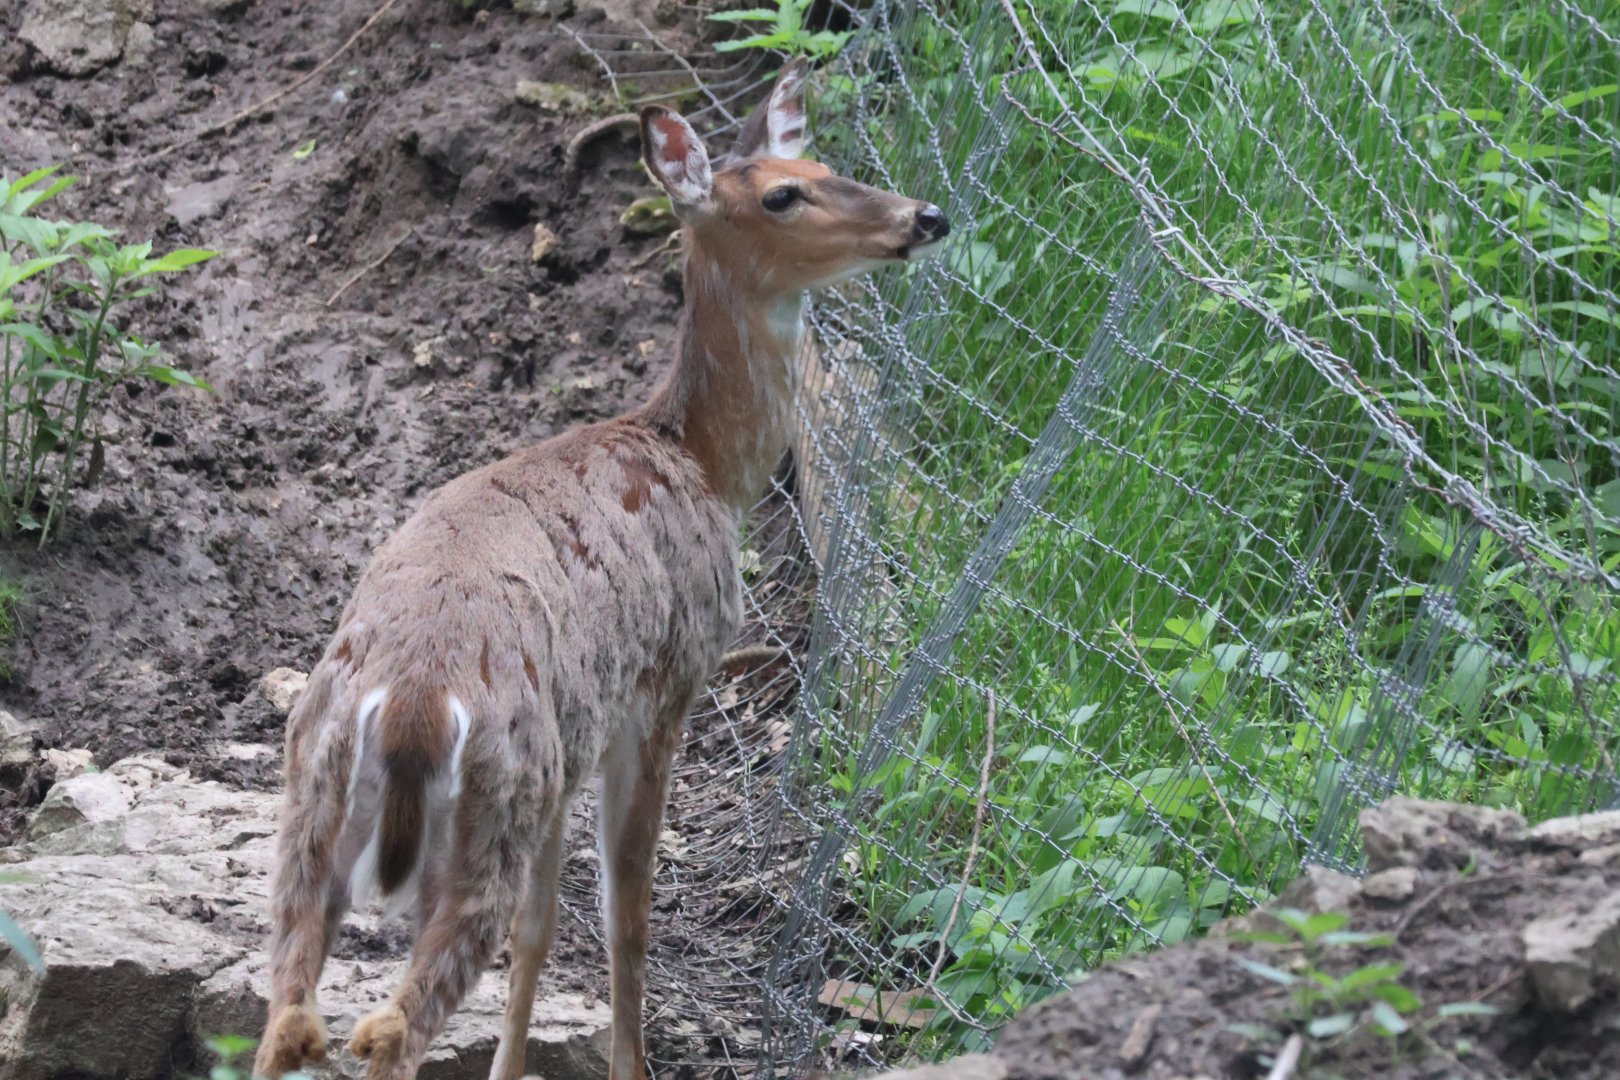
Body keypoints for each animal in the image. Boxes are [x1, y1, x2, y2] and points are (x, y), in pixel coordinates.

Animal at [251, 58, 949, 1080]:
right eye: (782, 195)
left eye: (824, 163)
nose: (924, 216)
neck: (700, 460)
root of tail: (409, 703)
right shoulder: (664, 687)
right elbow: (628, 920)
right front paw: (630, 1063)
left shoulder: (573, 736)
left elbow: (541, 930)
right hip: (491, 805)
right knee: (391, 1024)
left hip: (325, 803)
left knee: (291, 1014)